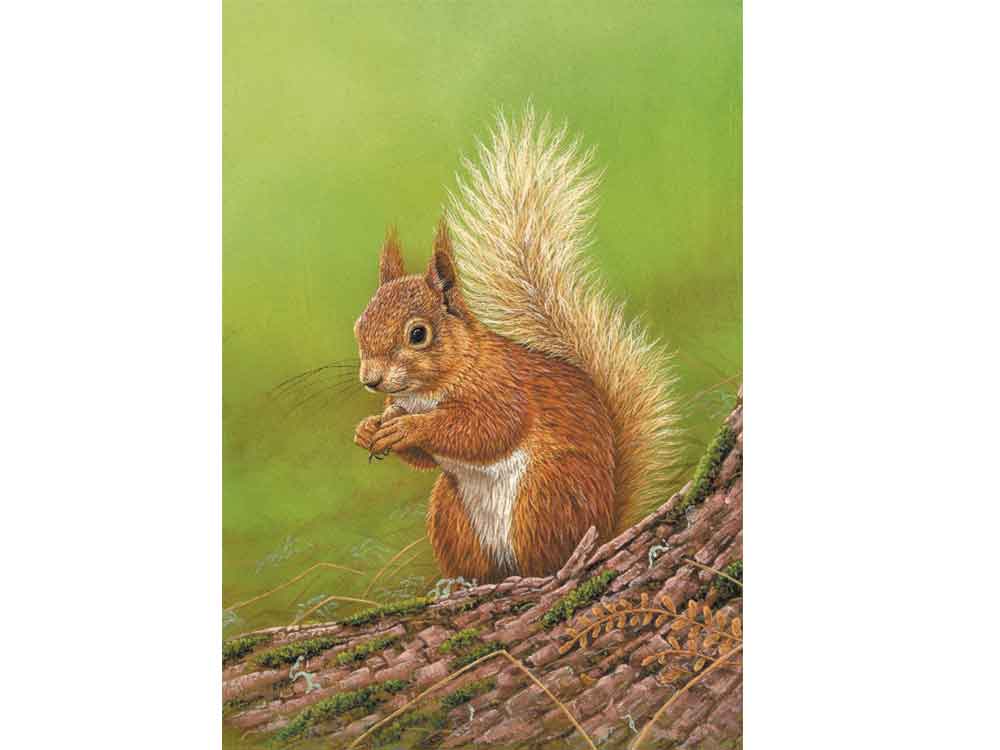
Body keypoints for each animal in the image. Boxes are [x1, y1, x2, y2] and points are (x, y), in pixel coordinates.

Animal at [353, 108, 679, 583]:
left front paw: (409, 428)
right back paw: (458, 585)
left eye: (418, 334)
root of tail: (604, 528)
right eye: (359, 324)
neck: (431, 389)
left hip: (545, 496)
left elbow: (486, 430)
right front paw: (368, 429)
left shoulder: (505, 390)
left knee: (544, 558)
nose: (371, 380)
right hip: (450, 514)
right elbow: (425, 461)